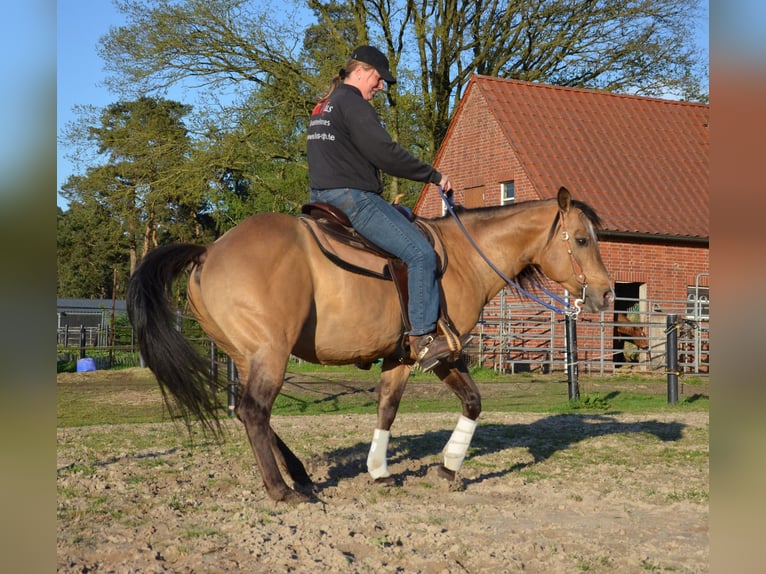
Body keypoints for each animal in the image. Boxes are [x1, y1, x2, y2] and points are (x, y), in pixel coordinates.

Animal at [127, 186, 614, 503]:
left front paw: (381, 471)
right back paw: (282, 490)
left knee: (250, 413)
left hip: (247, 358)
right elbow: (473, 401)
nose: (607, 294)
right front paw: (448, 465)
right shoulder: (441, 353)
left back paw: (299, 474)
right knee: (253, 412)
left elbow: (388, 409)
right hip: (270, 355)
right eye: (582, 239)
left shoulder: (399, 356)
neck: (462, 258)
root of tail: (209, 252)